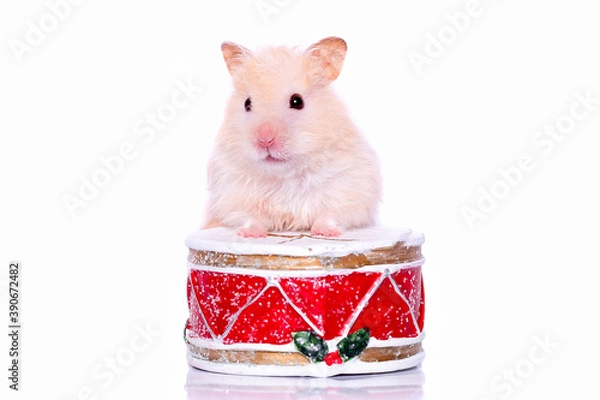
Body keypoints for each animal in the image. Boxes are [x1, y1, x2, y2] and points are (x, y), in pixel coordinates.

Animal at [202, 36, 380, 238]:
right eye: (247, 103)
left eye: (297, 101)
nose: (265, 140)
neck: (285, 175)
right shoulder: (234, 195)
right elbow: (252, 217)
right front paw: (248, 234)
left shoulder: (349, 190)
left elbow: (330, 213)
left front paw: (326, 233)